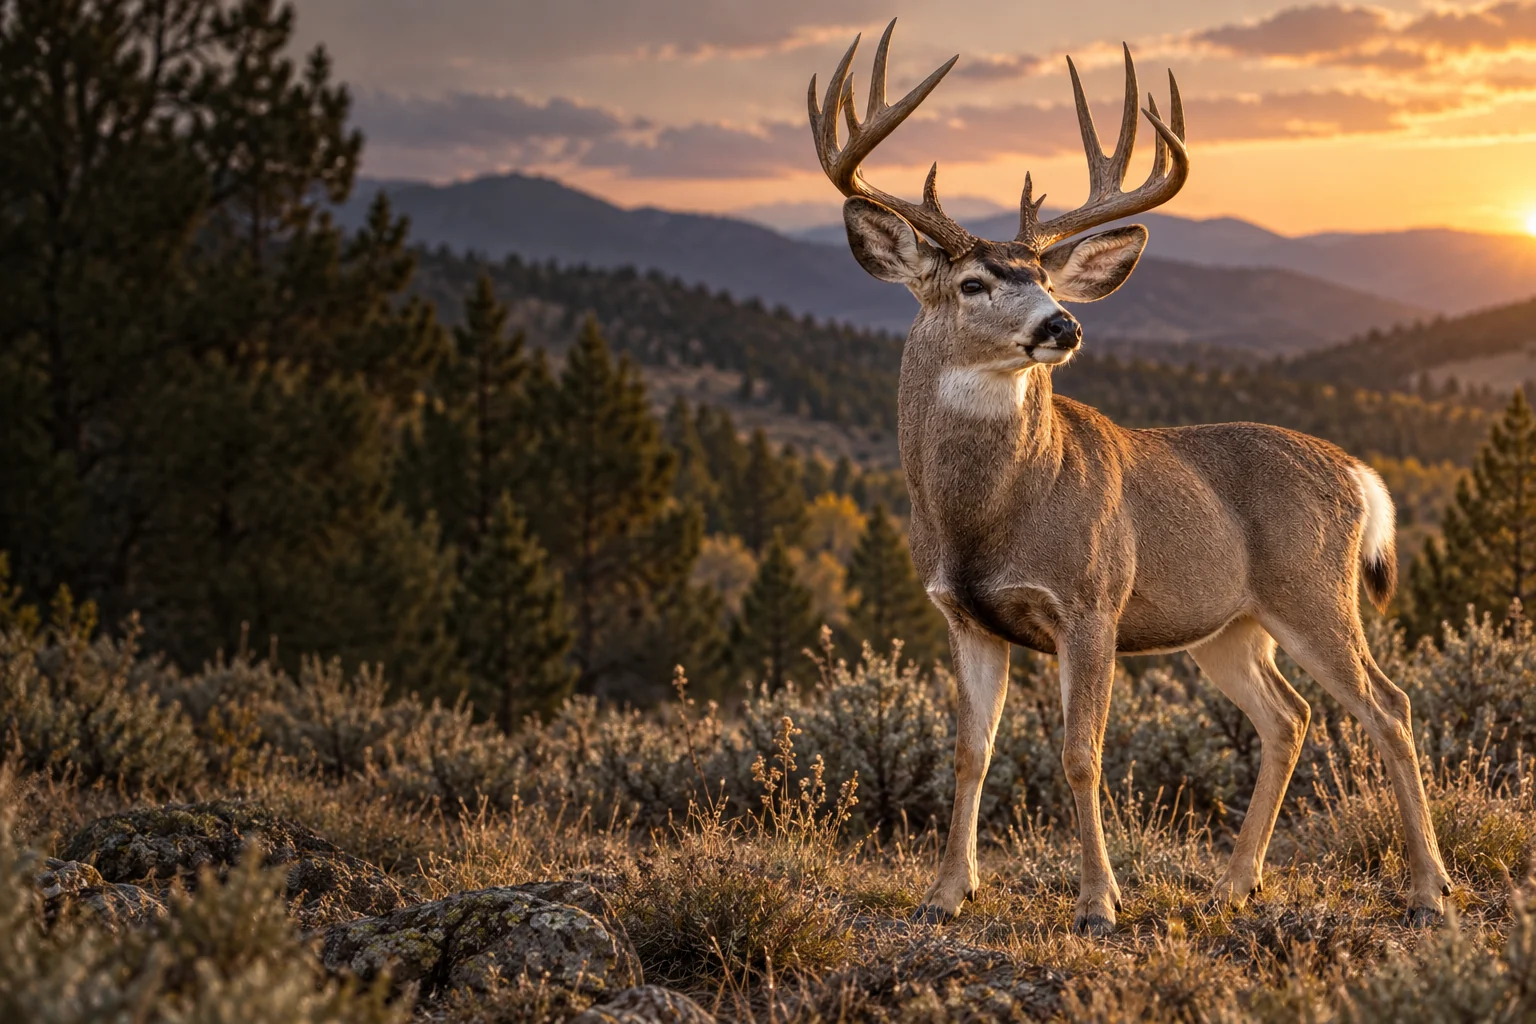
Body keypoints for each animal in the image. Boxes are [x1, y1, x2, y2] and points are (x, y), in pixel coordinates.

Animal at [807, 20, 1452, 935]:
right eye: (973, 282)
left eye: (1046, 278)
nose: (1063, 325)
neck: (984, 520)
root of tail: (1362, 476)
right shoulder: (962, 615)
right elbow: (970, 751)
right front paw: (945, 893)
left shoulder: (1092, 598)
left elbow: (1081, 752)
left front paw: (1098, 903)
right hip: (1228, 625)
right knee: (1288, 717)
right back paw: (1235, 883)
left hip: (1312, 590)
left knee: (1387, 705)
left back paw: (1430, 890)